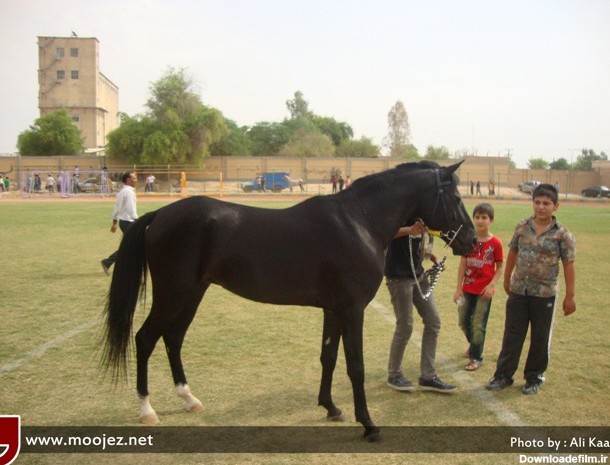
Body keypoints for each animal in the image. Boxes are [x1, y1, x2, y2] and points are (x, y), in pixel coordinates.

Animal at [101, 160, 476, 438]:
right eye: (456, 197)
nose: (471, 240)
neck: (359, 222)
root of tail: (159, 216)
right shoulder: (352, 310)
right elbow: (354, 366)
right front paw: (368, 424)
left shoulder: (333, 309)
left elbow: (328, 357)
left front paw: (331, 407)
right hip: (173, 294)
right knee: (145, 338)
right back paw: (147, 410)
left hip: (192, 294)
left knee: (173, 339)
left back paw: (189, 399)